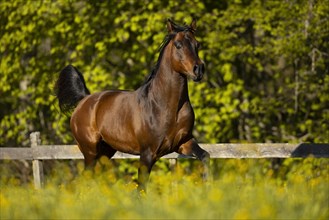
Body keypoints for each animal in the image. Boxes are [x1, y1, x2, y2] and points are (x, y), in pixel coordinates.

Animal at [53, 18, 208, 191]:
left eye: (197, 44)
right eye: (178, 45)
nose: (198, 69)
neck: (166, 107)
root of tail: (84, 100)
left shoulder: (184, 142)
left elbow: (205, 156)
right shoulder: (147, 153)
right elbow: (141, 187)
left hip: (106, 151)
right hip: (90, 151)